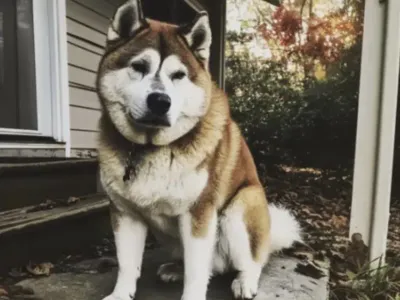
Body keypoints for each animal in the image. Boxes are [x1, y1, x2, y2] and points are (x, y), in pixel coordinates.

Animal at [97, 0, 302, 300]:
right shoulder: (126, 214)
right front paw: (121, 293)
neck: (151, 149)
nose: (160, 101)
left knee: (251, 262)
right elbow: (127, 263)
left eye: (178, 75)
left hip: (240, 208)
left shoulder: (198, 213)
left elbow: (196, 272)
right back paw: (174, 269)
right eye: (139, 66)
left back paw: (245, 281)